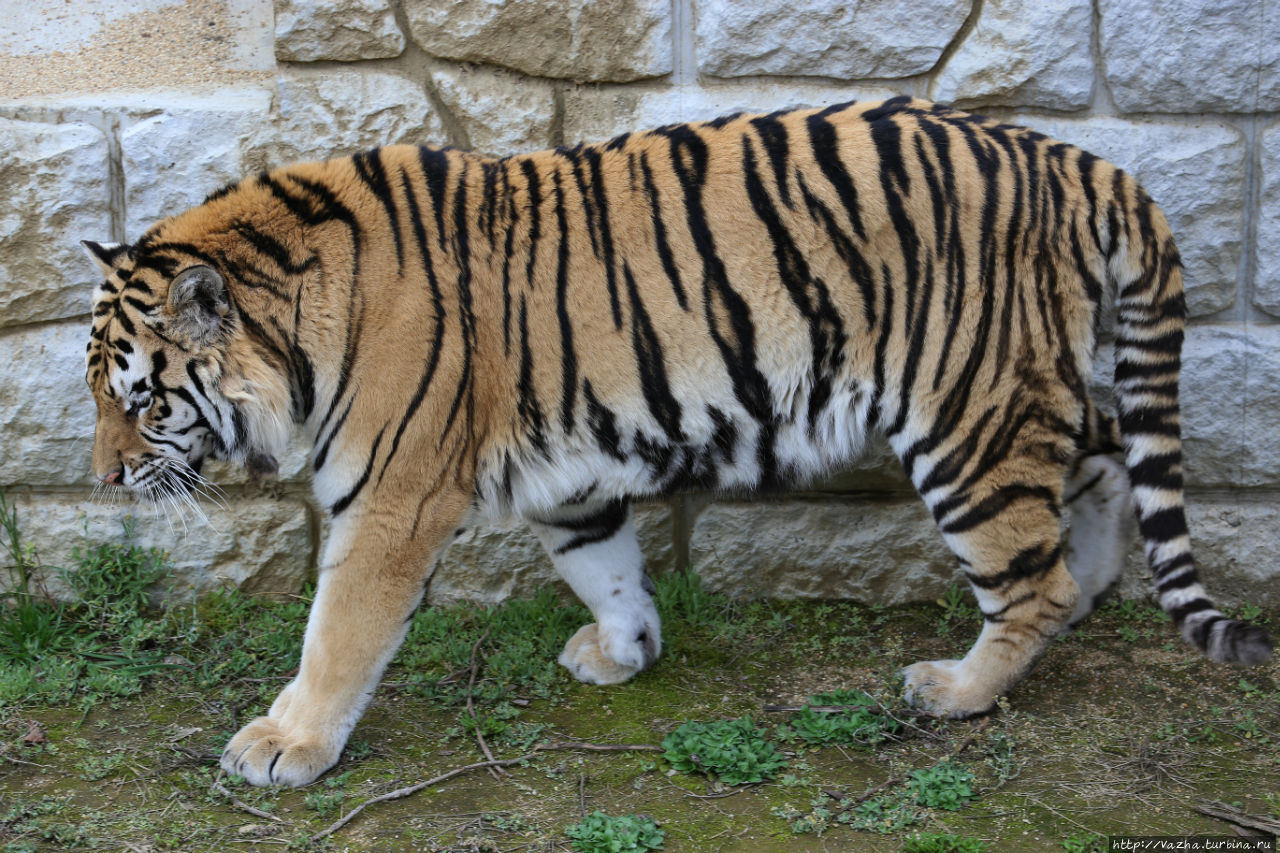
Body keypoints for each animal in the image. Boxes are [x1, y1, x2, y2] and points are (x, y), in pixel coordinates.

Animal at [82, 97, 1269, 783]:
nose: (103, 476)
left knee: (1030, 579)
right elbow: (603, 564)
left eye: (141, 400)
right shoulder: (565, 473)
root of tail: (1077, 160)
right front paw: (624, 651)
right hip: (1034, 386)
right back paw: (1091, 590)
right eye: (101, 394)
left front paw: (283, 745)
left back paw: (958, 688)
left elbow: (337, 633)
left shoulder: (391, 500)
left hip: (968, 413)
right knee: (1104, 461)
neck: (301, 316)